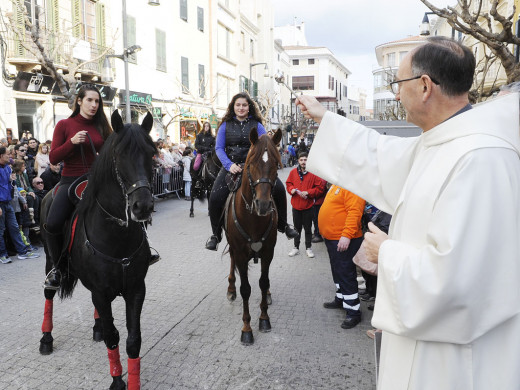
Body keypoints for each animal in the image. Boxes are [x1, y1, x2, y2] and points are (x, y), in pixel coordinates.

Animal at [39, 110, 156, 390]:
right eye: (120, 154)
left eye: (151, 153)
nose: (143, 206)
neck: (116, 234)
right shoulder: (102, 293)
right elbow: (114, 337)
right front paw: (117, 380)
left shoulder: (135, 289)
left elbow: (133, 340)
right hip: (50, 261)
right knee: (49, 293)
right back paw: (46, 338)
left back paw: (96, 326)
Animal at [222, 128, 280, 344]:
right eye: (251, 164)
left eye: (276, 165)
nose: (263, 205)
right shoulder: (239, 252)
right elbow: (245, 288)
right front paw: (246, 329)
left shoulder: (268, 251)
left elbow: (264, 282)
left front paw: (264, 319)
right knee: (231, 261)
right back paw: (231, 289)